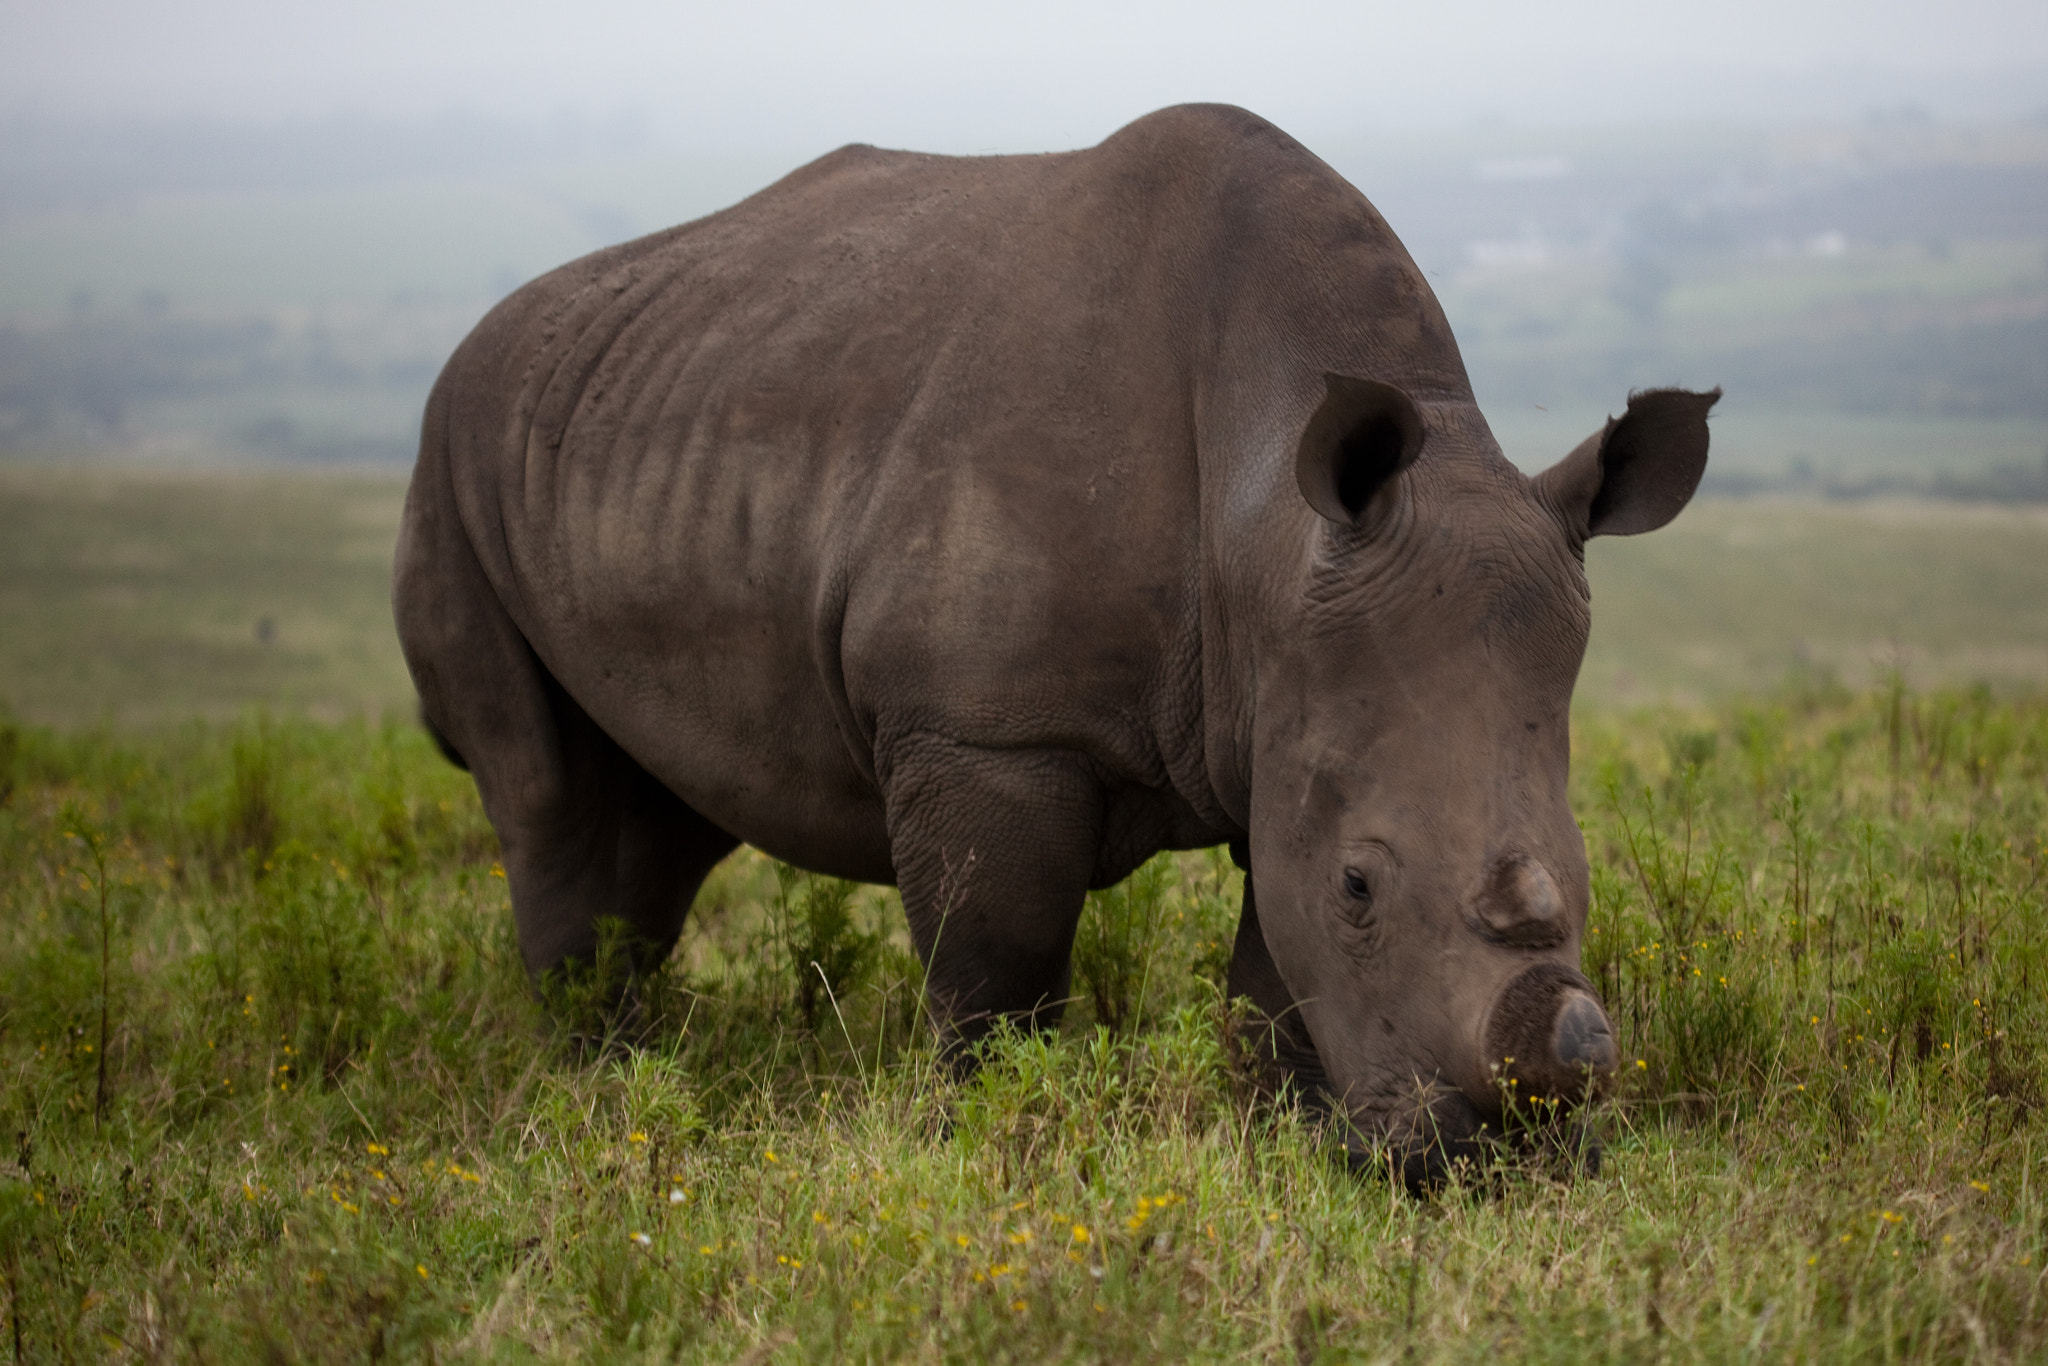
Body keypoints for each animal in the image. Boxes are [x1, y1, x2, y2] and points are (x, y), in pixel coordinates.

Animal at [394, 103, 1715, 1184]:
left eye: (1586, 873)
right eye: (1361, 885)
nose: (1517, 1158)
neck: (1266, 528)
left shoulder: (1282, 715)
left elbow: (1270, 982)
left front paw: (1285, 1148)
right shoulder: (983, 729)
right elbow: (998, 969)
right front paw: (987, 1142)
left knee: (664, 811)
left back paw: (645, 1066)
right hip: (450, 453)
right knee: (546, 791)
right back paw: (599, 1087)